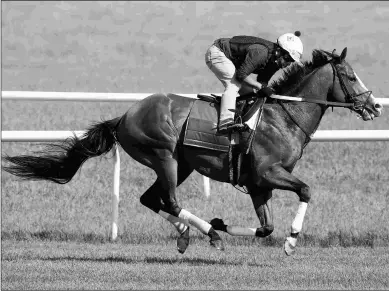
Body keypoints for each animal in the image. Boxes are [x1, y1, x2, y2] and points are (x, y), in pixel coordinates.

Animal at [2, 48, 382, 256]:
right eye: (350, 76)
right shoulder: (268, 173)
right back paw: (206, 234)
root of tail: (125, 115)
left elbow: (266, 228)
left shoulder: (258, 184)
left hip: (181, 164)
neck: (283, 115)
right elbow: (306, 190)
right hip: (164, 156)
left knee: (151, 199)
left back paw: (188, 234)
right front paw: (290, 241)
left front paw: (224, 223)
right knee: (168, 200)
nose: (374, 105)